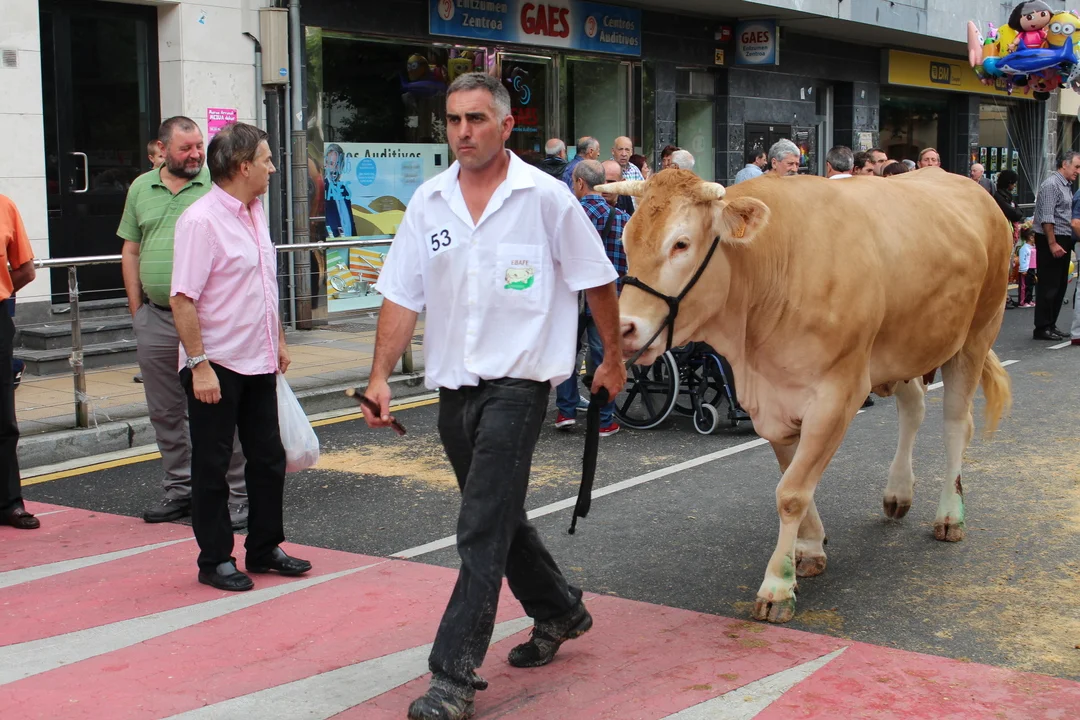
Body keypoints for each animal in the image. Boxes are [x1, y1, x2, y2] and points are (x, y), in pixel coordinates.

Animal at [598, 168, 1012, 623]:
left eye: (681, 243)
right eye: (626, 241)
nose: (623, 328)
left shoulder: (837, 396)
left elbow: (792, 493)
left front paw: (777, 586)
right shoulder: (770, 404)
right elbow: (792, 478)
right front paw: (810, 549)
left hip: (977, 333)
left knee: (956, 424)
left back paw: (950, 516)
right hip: (907, 345)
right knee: (914, 409)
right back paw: (898, 493)